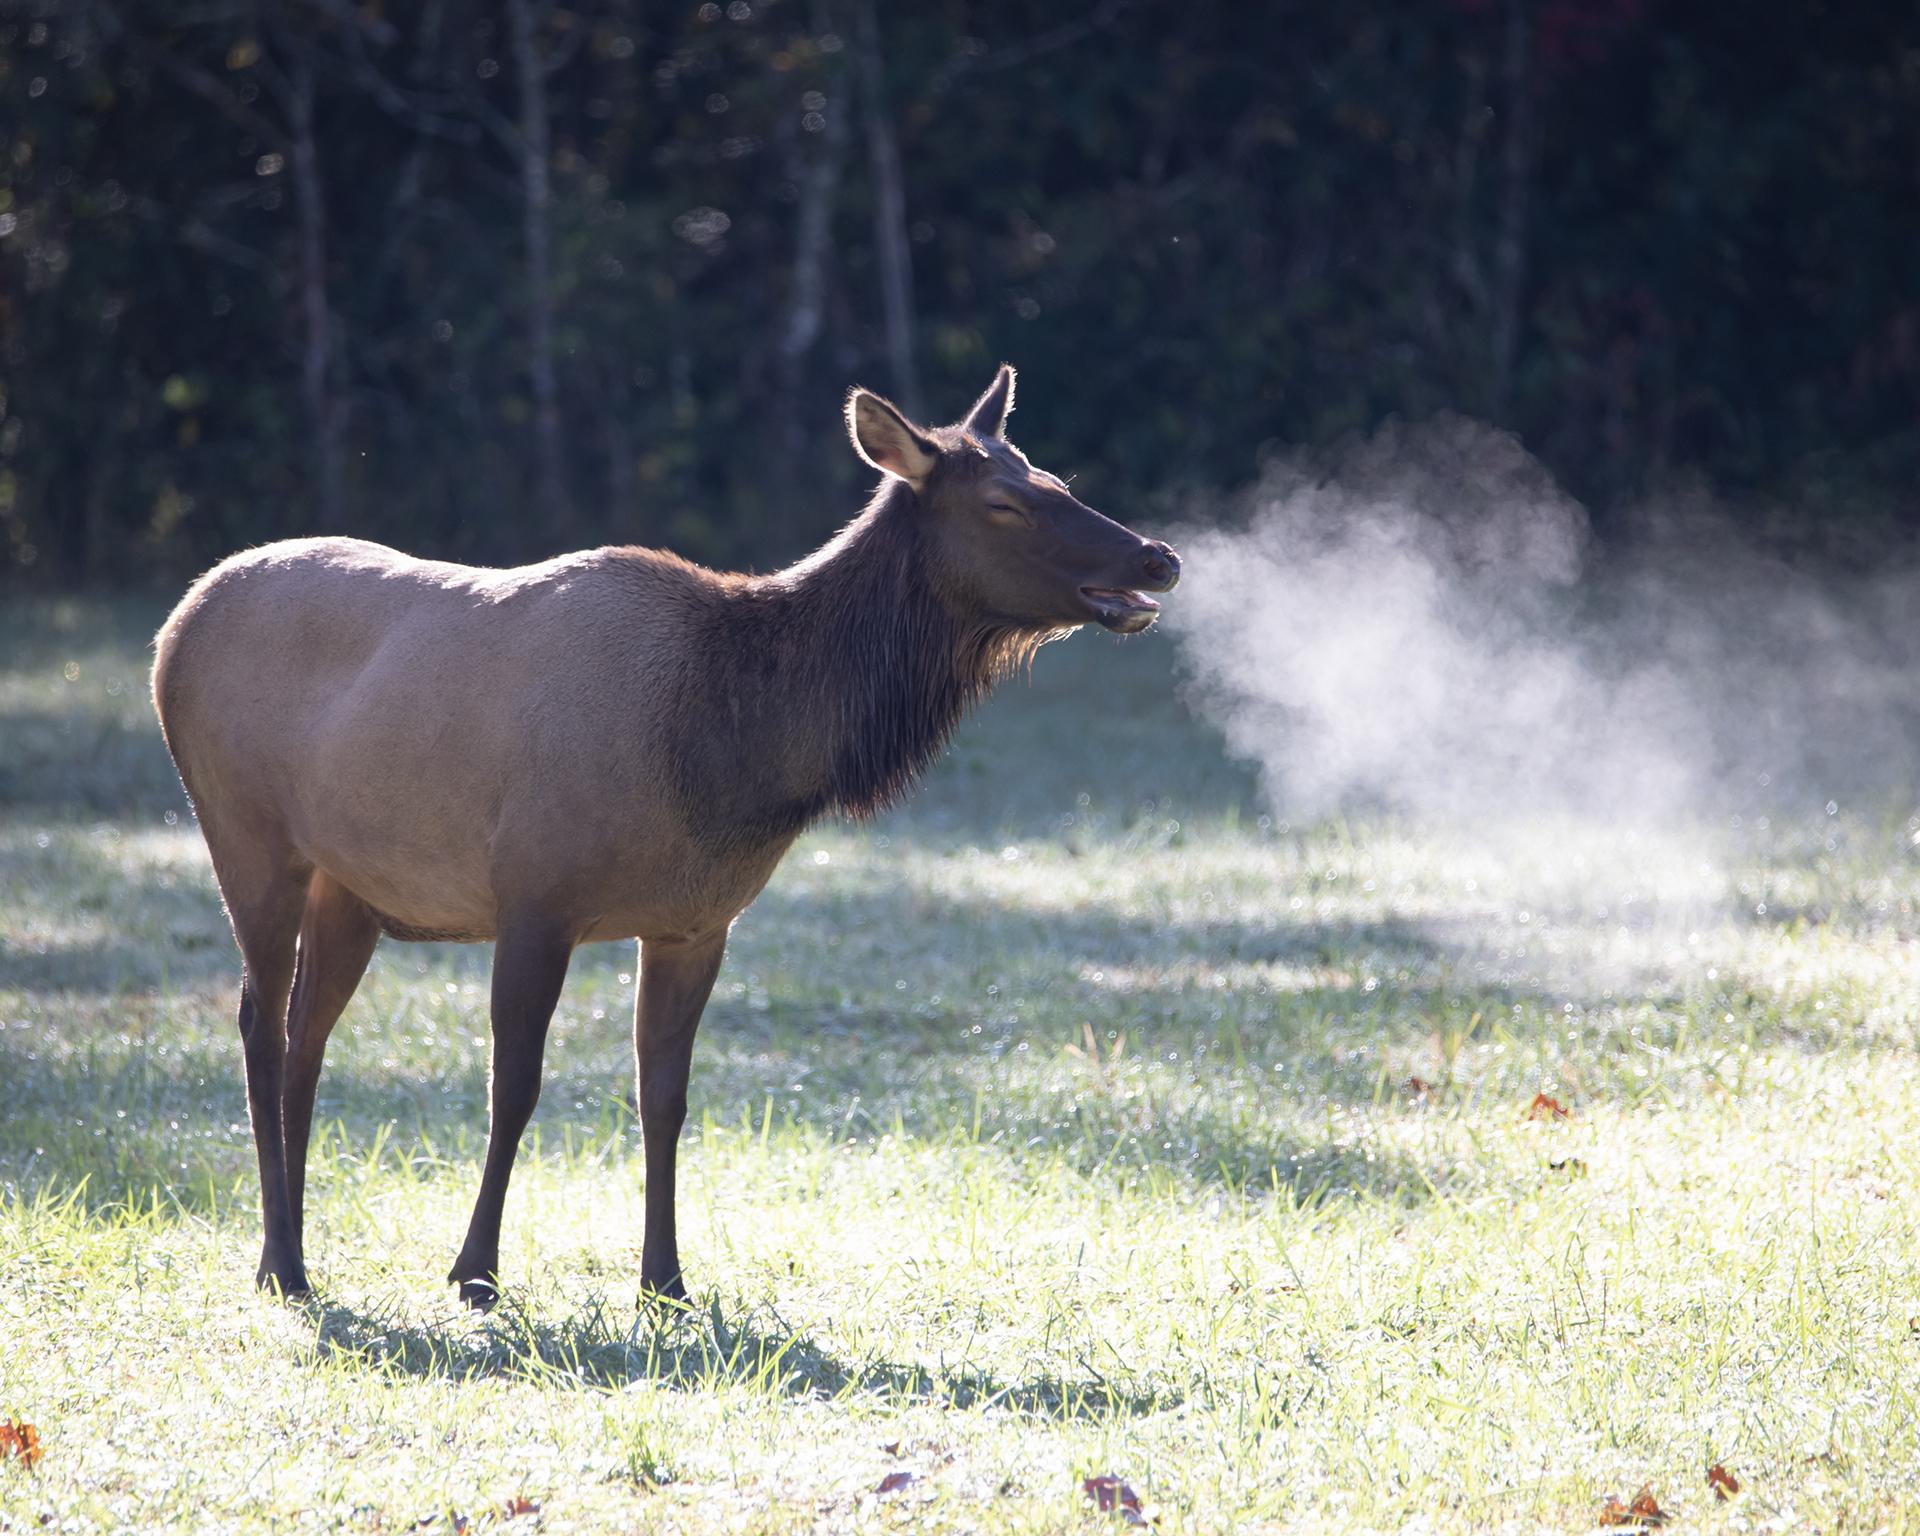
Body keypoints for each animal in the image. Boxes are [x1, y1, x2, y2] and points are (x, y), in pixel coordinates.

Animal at [151, 365, 1181, 1307]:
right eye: (1005, 502)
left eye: (1054, 475)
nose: (1157, 558)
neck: (730, 756)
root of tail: (176, 621)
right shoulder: (535, 893)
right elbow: (514, 1086)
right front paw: (475, 1272)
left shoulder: (697, 921)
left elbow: (666, 1098)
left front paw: (667, 1279)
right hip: (243, 833)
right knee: (259, 1026)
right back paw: (282, 1265)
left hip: (350, 886)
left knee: (306, 1035)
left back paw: (288, 1250)